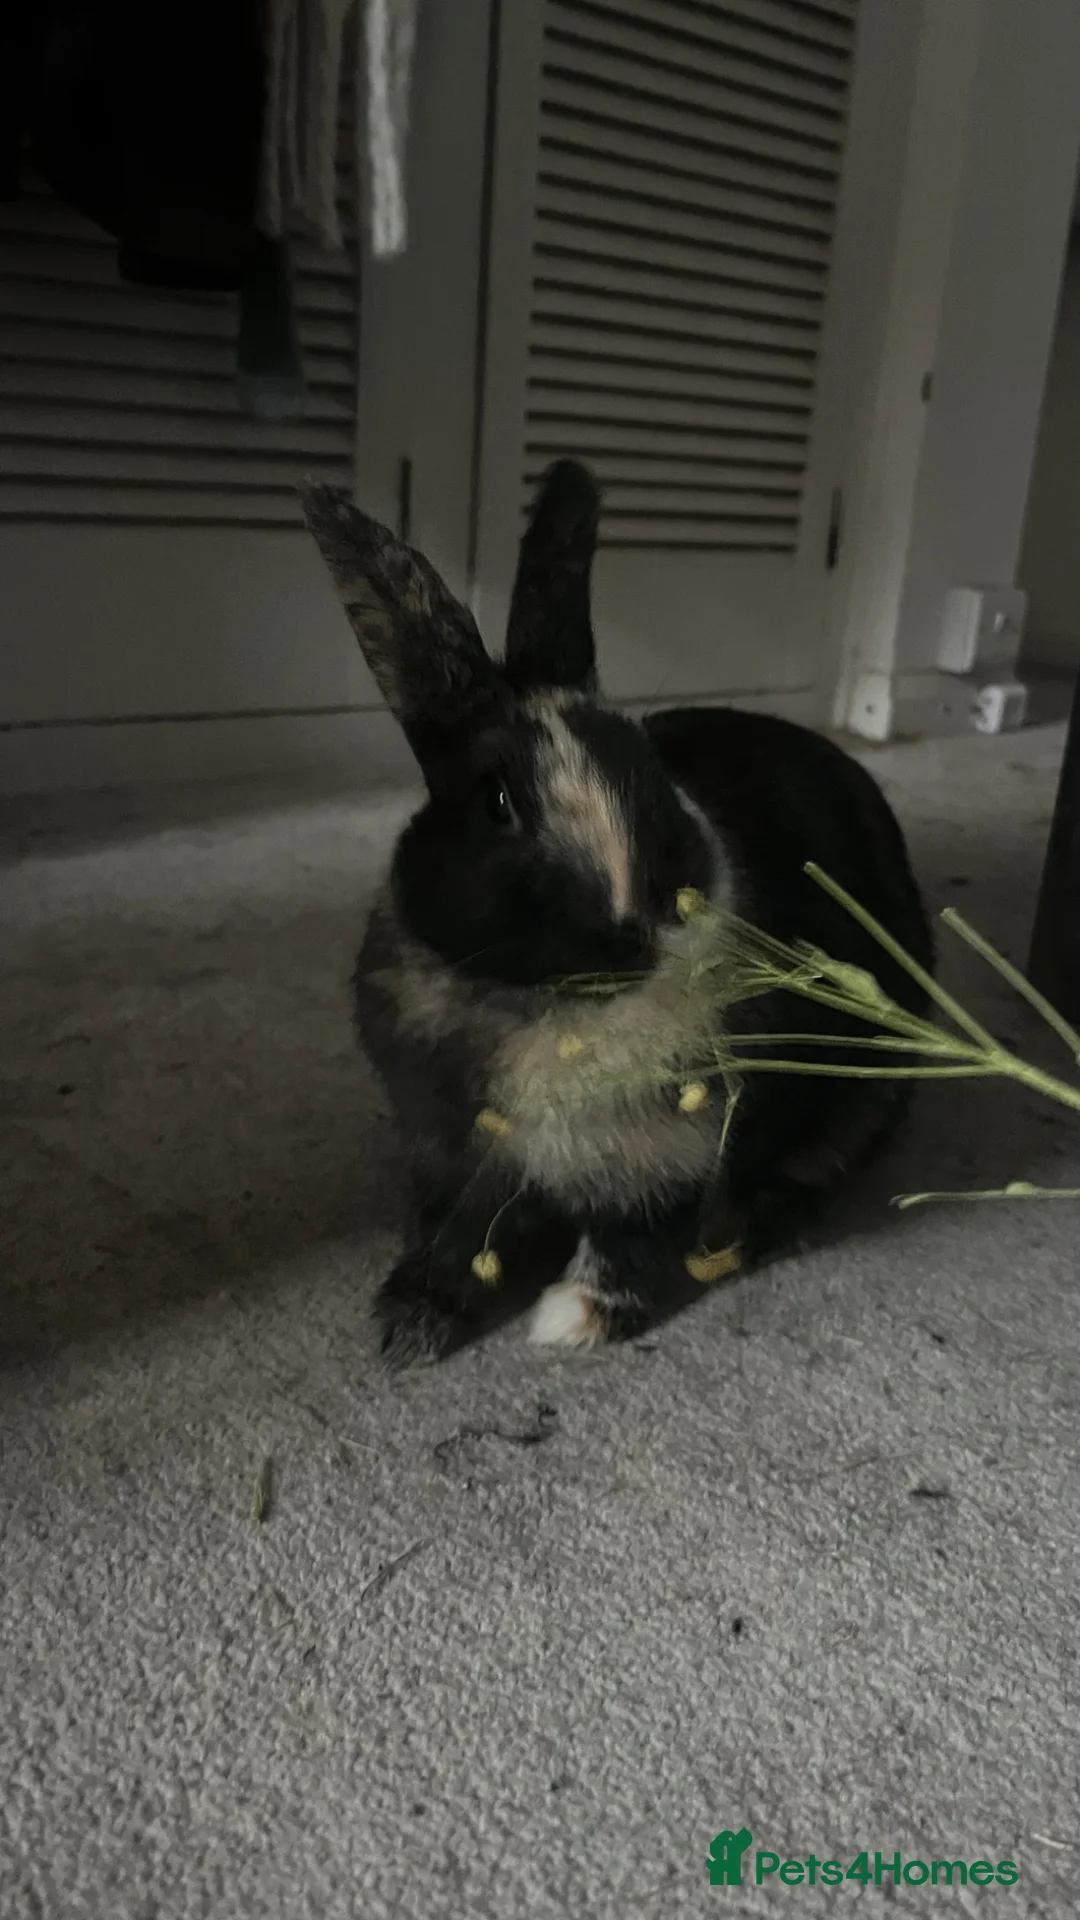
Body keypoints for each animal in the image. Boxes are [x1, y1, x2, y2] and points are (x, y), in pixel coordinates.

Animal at [299, 460, 934, 1368]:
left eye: (651, 767)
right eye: (495, 803)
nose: (640, 919)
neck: (555, 1007)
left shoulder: (665, 1167)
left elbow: (630, 1241)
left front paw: (575, 1321)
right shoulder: (456, 1164)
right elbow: (457, 1240)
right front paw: (409, 1324)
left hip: (867, 1091)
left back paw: (746, 1233)